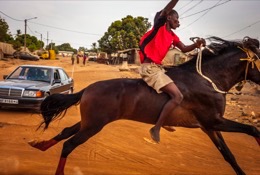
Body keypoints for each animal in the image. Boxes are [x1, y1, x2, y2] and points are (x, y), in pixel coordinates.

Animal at [29, 36, 260, 175]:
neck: (207, 79)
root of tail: (87, 90)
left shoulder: (210, 126)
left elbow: (229, 155)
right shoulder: (214, 121)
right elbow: (253, 129)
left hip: (89, 122)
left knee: (67, 131)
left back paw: (41, 145)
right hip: (93, 126)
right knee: (69, 144)